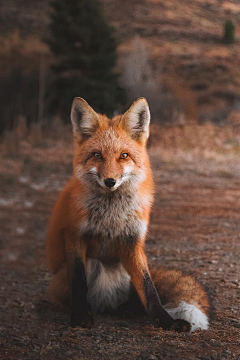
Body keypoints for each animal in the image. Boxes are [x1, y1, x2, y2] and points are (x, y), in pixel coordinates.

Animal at [45, 96, 210, 332]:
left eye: (124, 156)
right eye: (97, 155)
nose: (110, 181)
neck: (111, 215)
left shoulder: (133, 242)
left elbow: (149, 288)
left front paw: (165, 320)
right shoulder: (75, 237)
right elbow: (79, 282)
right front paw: (80, 316)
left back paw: (128, 309)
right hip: (88, 267)